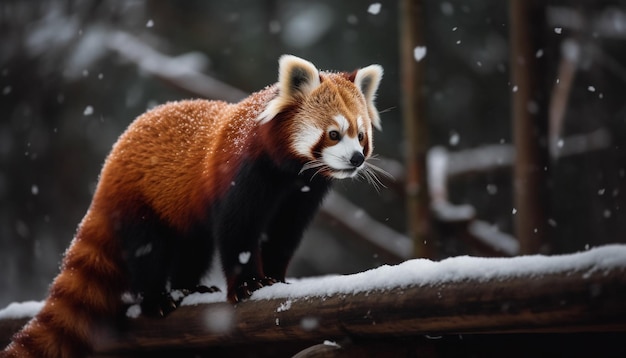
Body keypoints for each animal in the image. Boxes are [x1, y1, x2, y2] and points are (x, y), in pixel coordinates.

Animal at [2, 54, 382, 356]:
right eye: (333, 134)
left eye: (361, 135)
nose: (357, 158)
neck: (288, 173)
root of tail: (110, 164)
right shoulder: (241, 174)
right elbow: (237, 230)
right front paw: (248, 283)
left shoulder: (301, 194)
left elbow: (284, 234)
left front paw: (275, 278)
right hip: (139, 204)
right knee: (147, 251)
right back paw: (156, 298)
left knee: (193, 248)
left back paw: (191, 286)